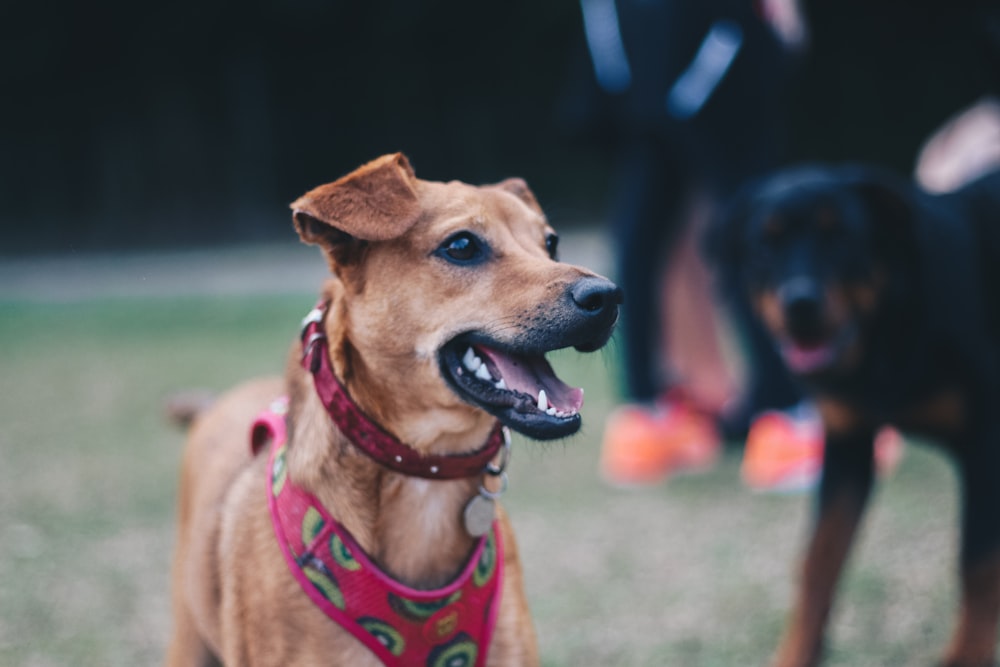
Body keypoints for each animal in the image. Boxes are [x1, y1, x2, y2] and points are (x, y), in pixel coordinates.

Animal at [708, 163, 1000, 667]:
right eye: (764, 244)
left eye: (841, 237)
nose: (800, 303)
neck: (885, 331)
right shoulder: (847, 448)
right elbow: (819, 559)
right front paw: (797, 652)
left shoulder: (986, 445)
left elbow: (978, 564)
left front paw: (968, 655)